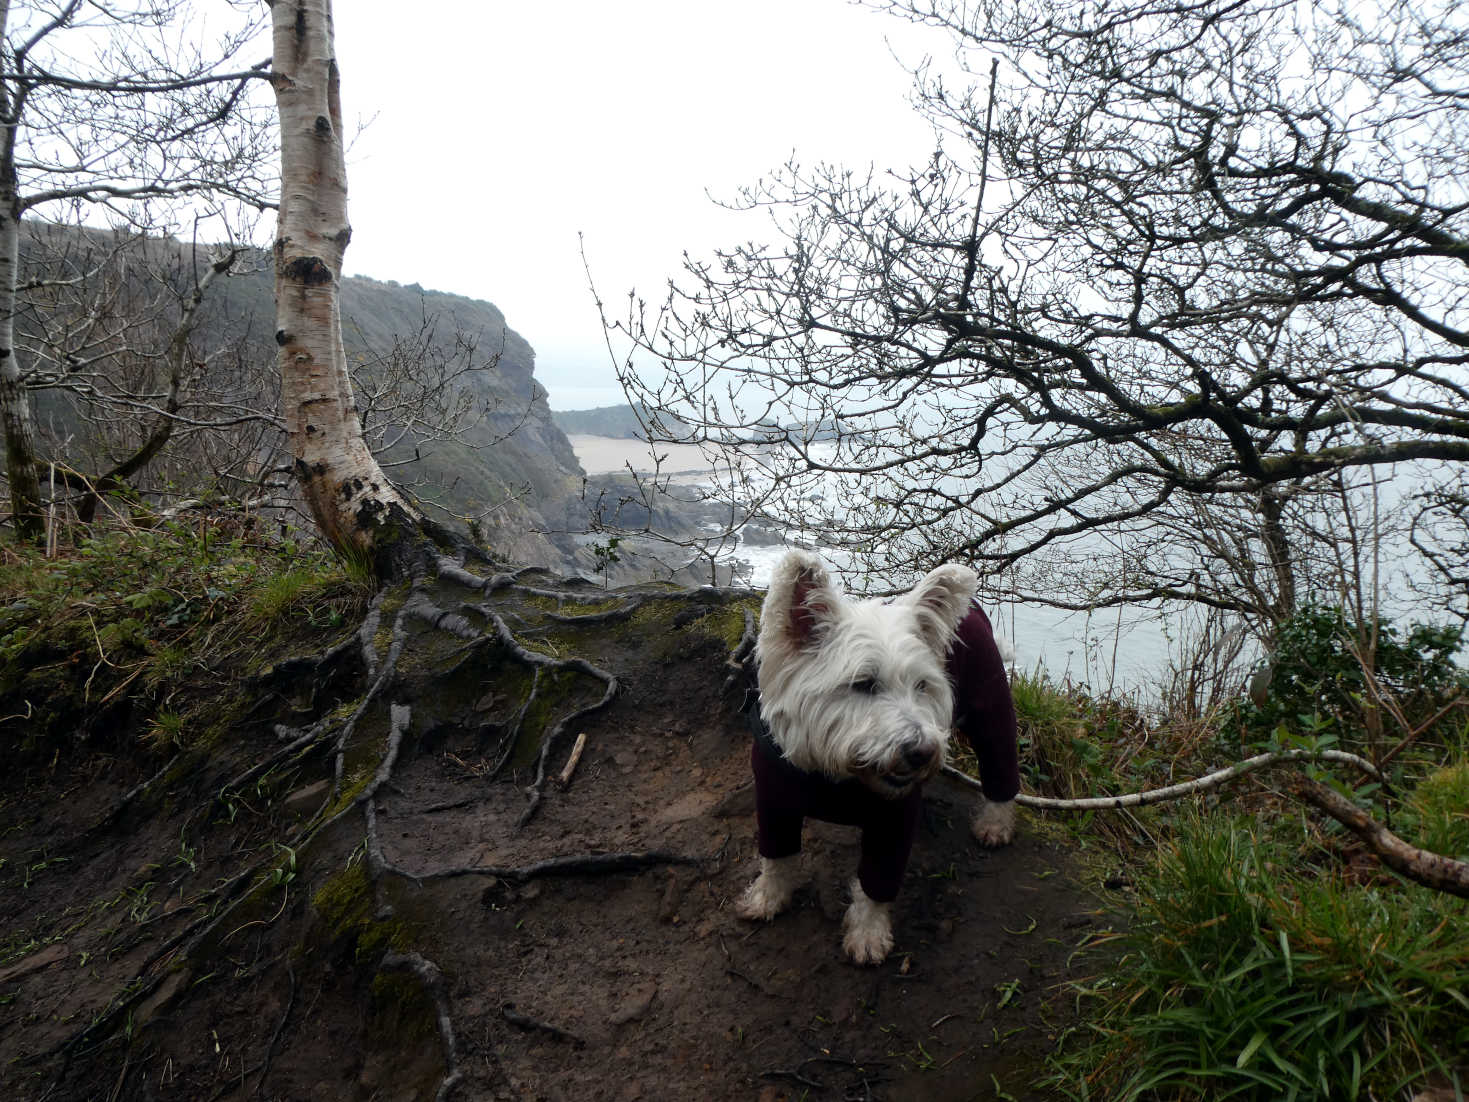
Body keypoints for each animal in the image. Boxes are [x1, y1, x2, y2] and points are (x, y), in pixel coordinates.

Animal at [740, 552, 1016, 963]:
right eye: (863, 684)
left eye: (922, 686)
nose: (922, 752)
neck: (832, 775)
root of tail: (977, 610)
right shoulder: (774, 799)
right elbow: (775, 856)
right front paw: (766, 897)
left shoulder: (893, 818)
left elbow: (877, 882)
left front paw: (868, 935)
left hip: (991, 707)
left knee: (1001, 769)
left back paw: (995, 824)